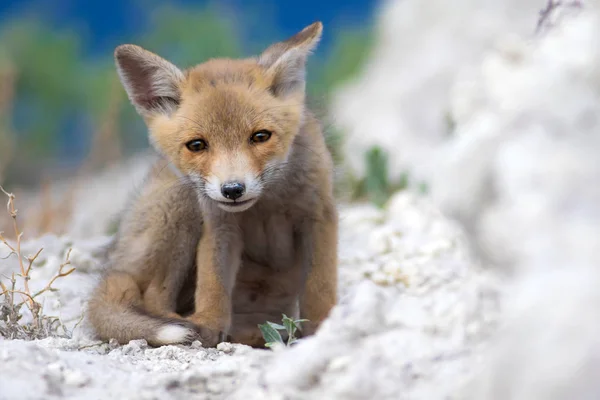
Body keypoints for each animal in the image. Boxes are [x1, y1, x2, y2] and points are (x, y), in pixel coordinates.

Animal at [85, 21, 338, 346]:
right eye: (197, 145)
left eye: (260, 136)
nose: (232, 190)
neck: (267, 203)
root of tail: (114, 262)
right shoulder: (219, 224)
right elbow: (212, 286)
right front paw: (207, 326)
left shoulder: (319, 215)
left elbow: (320, 288)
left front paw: (323, 329)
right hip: (181, 205)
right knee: (153, 298)